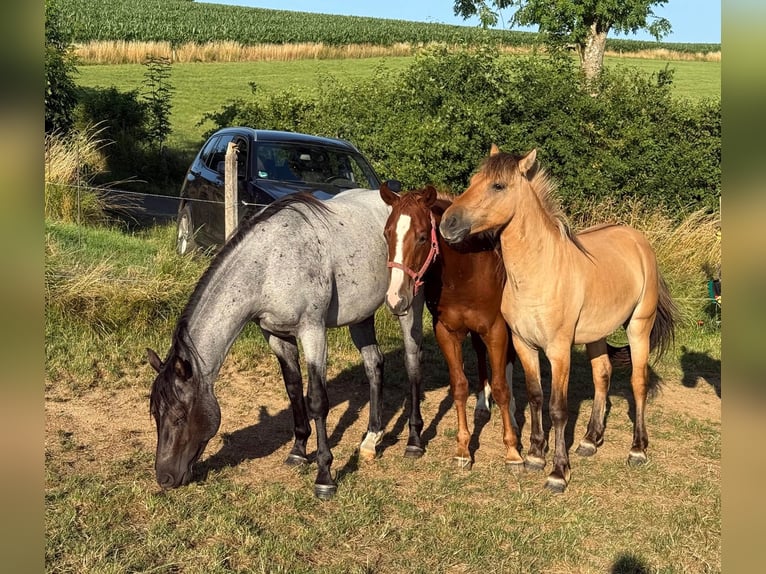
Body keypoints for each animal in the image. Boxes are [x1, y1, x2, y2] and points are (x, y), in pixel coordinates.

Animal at [147, 189, 427, 500]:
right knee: (374, 365)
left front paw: (324, 476)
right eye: (155, 415)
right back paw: (371, 439)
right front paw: (298, 451)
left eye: (180, 416)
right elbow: (293, 388)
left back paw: (414, 441)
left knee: (412, 362)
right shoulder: (276, 335)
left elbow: (317, 400)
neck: (270, 263)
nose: (165, 477)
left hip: (407, 303)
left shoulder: (313, 331)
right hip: (361, 315)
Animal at [380, 183, 521, 469]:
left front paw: (512, 451)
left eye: (423, 237)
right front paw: (463, 449)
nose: (395, 299)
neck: (466, 273)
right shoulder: (446, 332)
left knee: (508, 365)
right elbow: (459, 386)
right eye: (387, 234)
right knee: (479, 353)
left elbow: (501, 387)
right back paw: (482, 404)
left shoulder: (496, 330)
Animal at [439, 146, 677, 493]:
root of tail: (637, 239)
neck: (539, 271)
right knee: (602, 375)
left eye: (498, 186)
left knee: (638, 382)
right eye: (472, 180)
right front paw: (535, 455)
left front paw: (558, 472)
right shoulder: (524, 345)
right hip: (596, 335)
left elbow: (558, 408)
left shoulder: (559, 351)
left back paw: (637, 449)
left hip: (638, 328)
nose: (448, 224)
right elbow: (536, 397)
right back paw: (590, 440)